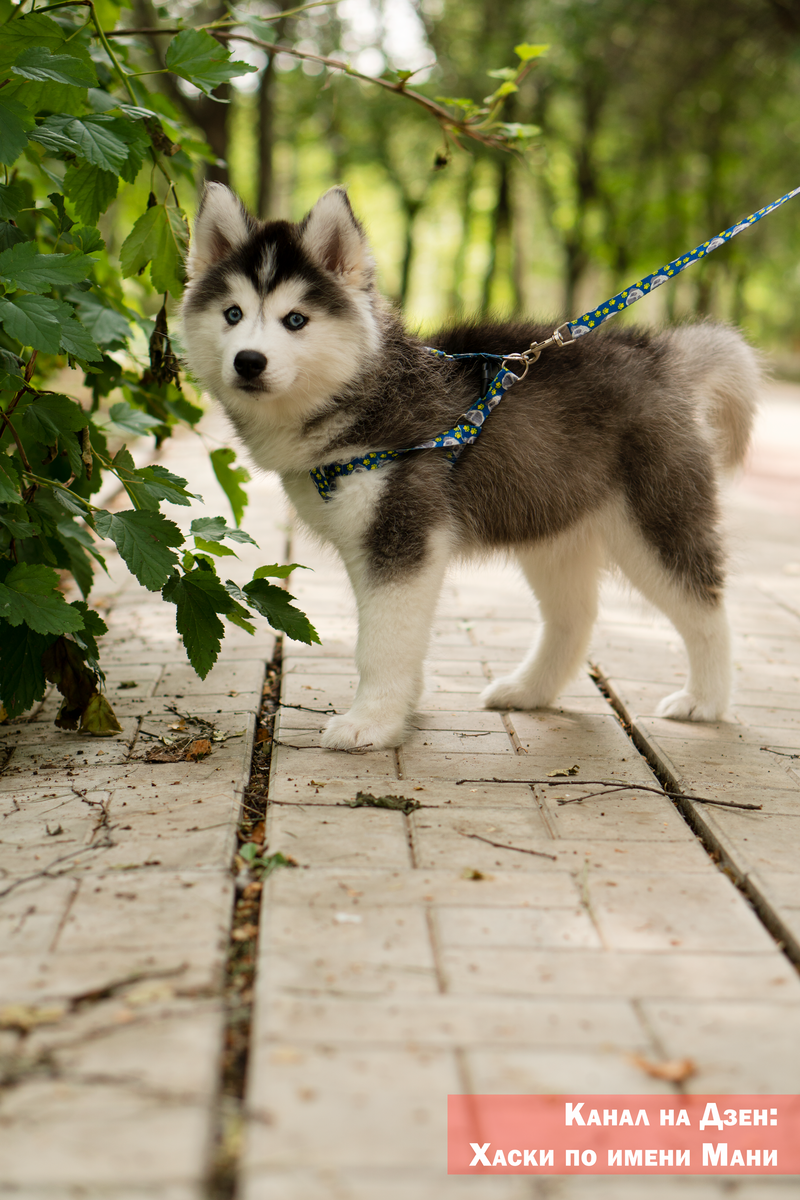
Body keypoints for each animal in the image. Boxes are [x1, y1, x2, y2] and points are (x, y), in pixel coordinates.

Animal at [179, 184, 758, 748]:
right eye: (232, 314)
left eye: (295, 319)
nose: (248, 362)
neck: (364, 393)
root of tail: (657, 353)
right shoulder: (368, 540)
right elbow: (392, 633)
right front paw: (401, 709)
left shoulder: (404, 533)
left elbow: (382, 641)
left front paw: (371, 722)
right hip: (551, 521)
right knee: (575, 616)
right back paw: (529, 690)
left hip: (652, 520)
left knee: (706, 607)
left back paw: (705, 700)